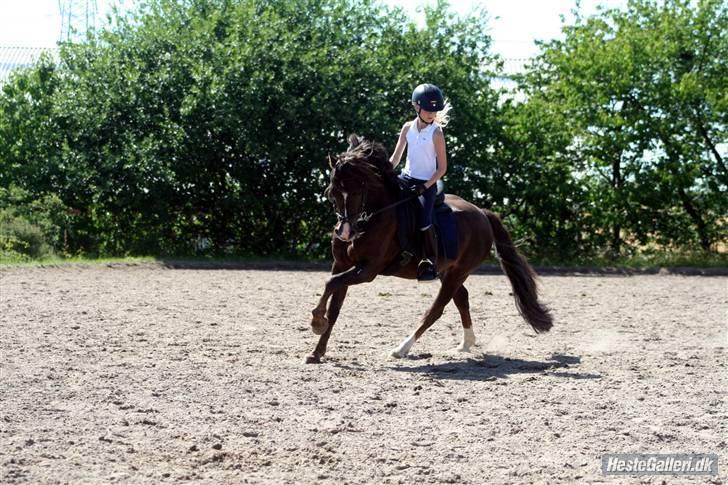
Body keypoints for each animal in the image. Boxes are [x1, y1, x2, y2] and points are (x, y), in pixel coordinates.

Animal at [307, 135, 552, 364]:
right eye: (332, 193)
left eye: (358, 192)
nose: (345, 233)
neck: (371, 217)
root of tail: (482, 213)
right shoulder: (342, 264)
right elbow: (335, 304)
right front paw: (317, 351)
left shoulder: (367, 270)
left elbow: (330, 283)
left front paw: (317, 321)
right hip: (446, 271)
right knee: (461, 298)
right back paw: (466, 343)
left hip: (458, 272)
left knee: (437, 309)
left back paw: (401, 349)